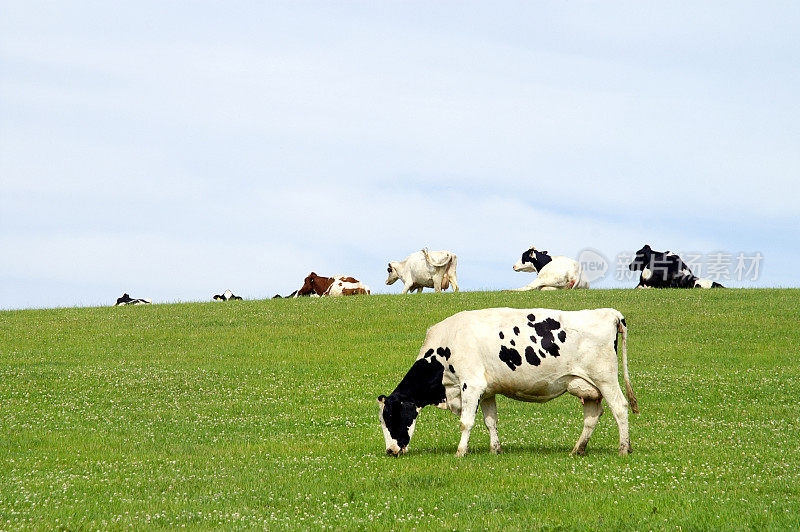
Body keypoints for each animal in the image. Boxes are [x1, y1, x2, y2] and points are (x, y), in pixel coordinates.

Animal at [378, 308, 640, 458]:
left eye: (389, 416)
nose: (390, 451)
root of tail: (610, 312)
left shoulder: (471, 384)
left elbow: (466, 422)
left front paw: (460, 452)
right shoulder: (486, 391)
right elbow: (490, 421)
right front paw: (496, 450)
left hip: (605, 378)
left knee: (620, 408)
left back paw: (623, 449)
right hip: (587, 386)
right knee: (592, 416)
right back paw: (578, 449)